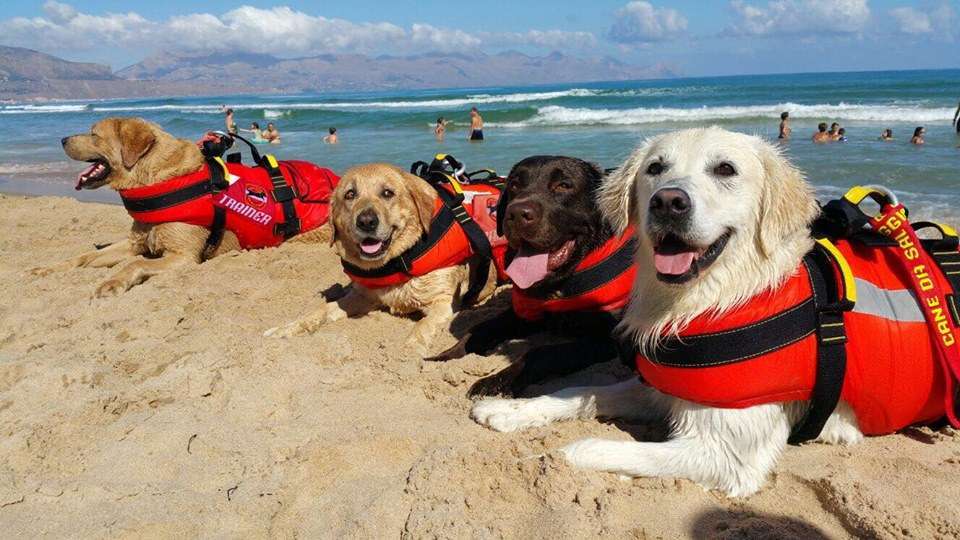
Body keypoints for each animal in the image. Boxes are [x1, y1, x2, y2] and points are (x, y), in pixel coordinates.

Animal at [34, 115, 330, 298]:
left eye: (94, 134)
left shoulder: (183, 256)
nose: (62, 139)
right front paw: (47, 269)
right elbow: (86, 256)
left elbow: (136, 263)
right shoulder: (133, 242)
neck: (156, 177)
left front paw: (112, 282)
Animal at [266, 165, 498, 354]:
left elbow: (422, 326)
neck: (399, 260)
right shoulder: (362, 296)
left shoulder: (442, 303)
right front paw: (286, 328)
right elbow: (322, 309)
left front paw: (408, 351)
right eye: (350, 194)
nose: (366, 221)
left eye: (388, 193)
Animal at [430, 156, 632, 396]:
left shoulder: (607, 339)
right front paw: (445, 356)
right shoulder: (524, 312)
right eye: (515, 184)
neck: (559, 282)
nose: (517, 214)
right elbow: (479, 328)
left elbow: (540, 353)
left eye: (564, 185)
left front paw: (496, 382)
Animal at [468, 127, 872, 498]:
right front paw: (508, 410)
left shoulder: (727, 456)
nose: (667, 201)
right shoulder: (661, 388)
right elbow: (577, 390)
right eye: (655, 168)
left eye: (726, 169)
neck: (709, 300)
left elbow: (586, 447)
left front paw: (542, 457)